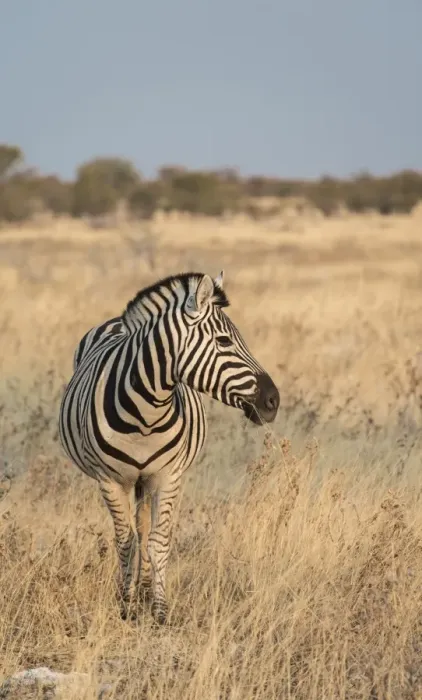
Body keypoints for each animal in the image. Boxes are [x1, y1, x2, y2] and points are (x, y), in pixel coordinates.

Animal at [59, 271, 279, 624]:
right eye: (224, 341)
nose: (273, 401)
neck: (144, 414)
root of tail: (117, 321)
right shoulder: (110, 481)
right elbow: (125, 541)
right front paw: (126, 605)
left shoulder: (167, 476)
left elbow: (158, 541)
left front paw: (159, 609)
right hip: (132, 481)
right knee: (135, 532)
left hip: (146, 480)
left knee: (145, 528)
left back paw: (146, 588)